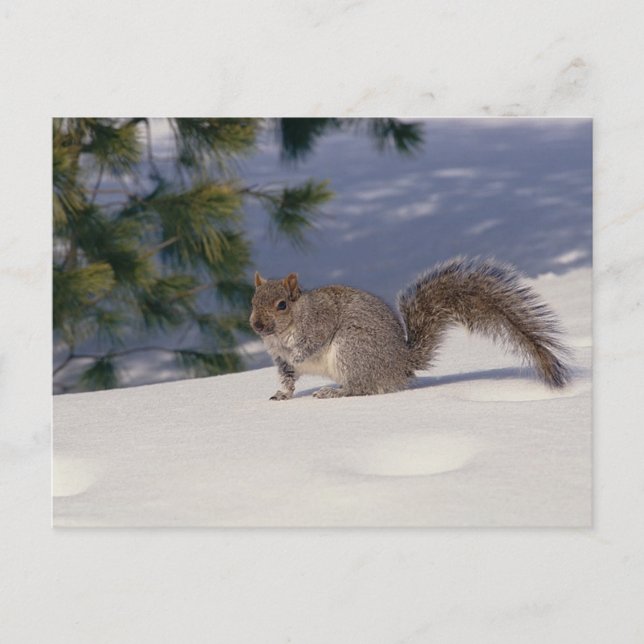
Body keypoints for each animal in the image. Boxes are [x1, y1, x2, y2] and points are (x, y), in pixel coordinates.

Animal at [250, 257, 571, 400]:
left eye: (281, 305)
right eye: (252, 300)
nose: (256, 325)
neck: (281, 334)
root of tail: (400, 364)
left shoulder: (320, 321)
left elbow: (312, 343)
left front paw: (299, 353)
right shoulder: (280, 361)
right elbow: (288, 379)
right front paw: (282, 395)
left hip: (352, 349)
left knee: (362, 387)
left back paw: (335, 392)